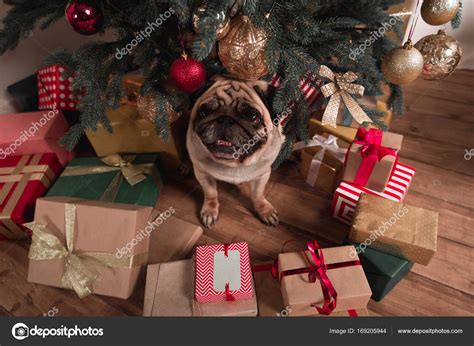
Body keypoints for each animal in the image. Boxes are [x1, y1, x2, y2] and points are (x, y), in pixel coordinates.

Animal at [186, 76, 284, 227]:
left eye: (252, 116)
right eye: (204, 112)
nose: (225, 119)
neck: (233, 163)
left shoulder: (262, 175)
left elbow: (258, 195)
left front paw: (265, 211)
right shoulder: (202, 173)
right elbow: (210, 194)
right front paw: (209, 211)